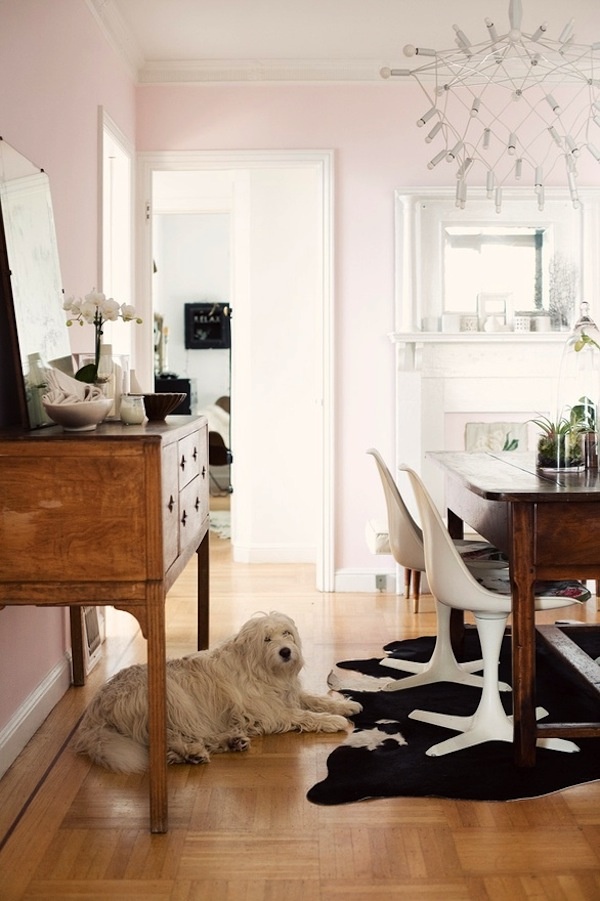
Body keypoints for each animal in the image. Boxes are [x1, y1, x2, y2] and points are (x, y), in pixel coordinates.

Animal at [72, 612, 358, 772]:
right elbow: (302, 715)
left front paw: (344, 706)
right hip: (173, 701)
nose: (286, 652)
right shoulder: (271, 711)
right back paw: (193, 752)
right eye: (266, 639)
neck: (259, 668)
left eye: (286, 633)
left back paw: (225, 743)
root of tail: (97, 706)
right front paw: (333, 720)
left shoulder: (287, 695)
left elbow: (312, 698)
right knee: (166, 738)